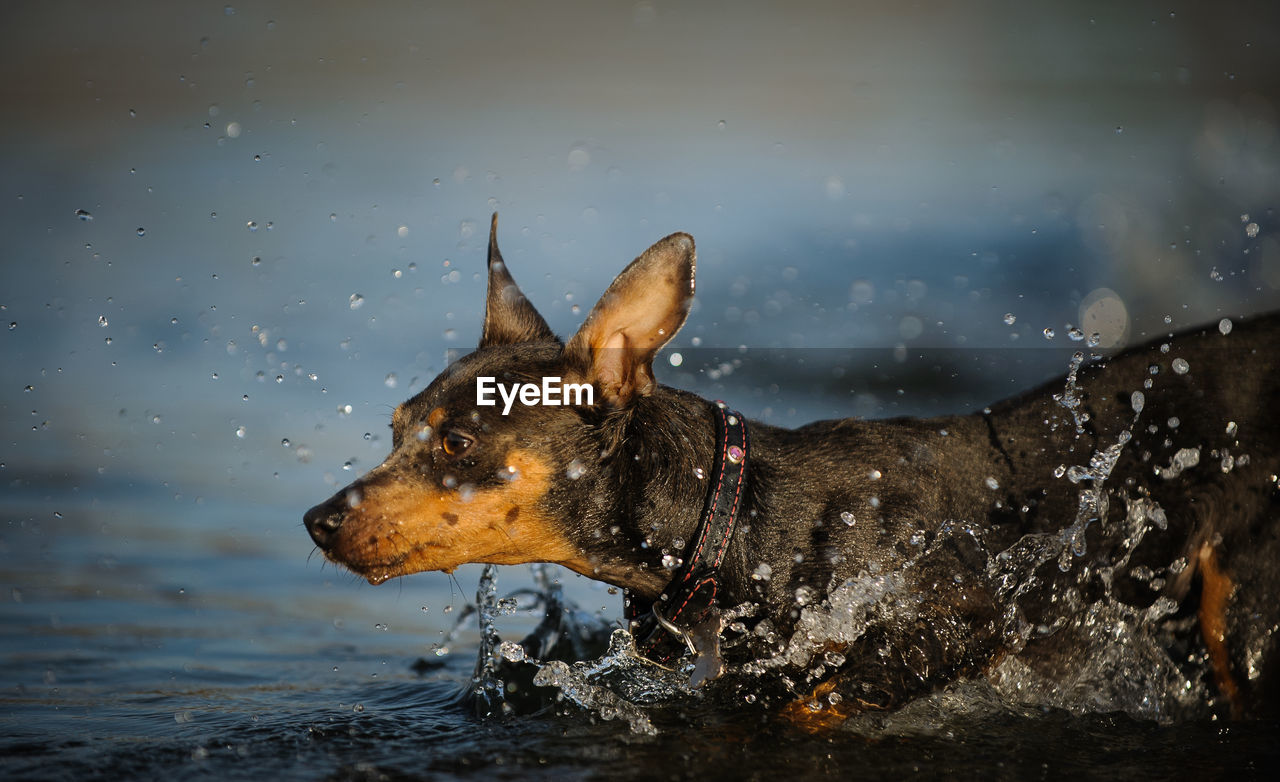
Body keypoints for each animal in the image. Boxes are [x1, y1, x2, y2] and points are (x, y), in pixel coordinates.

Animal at [302, 216, 1280, 726]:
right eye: (395, 429)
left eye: (457, 447)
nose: (317, 520)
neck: (736, 522)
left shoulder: (968, 616)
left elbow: (823, 696)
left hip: (1245, 612)